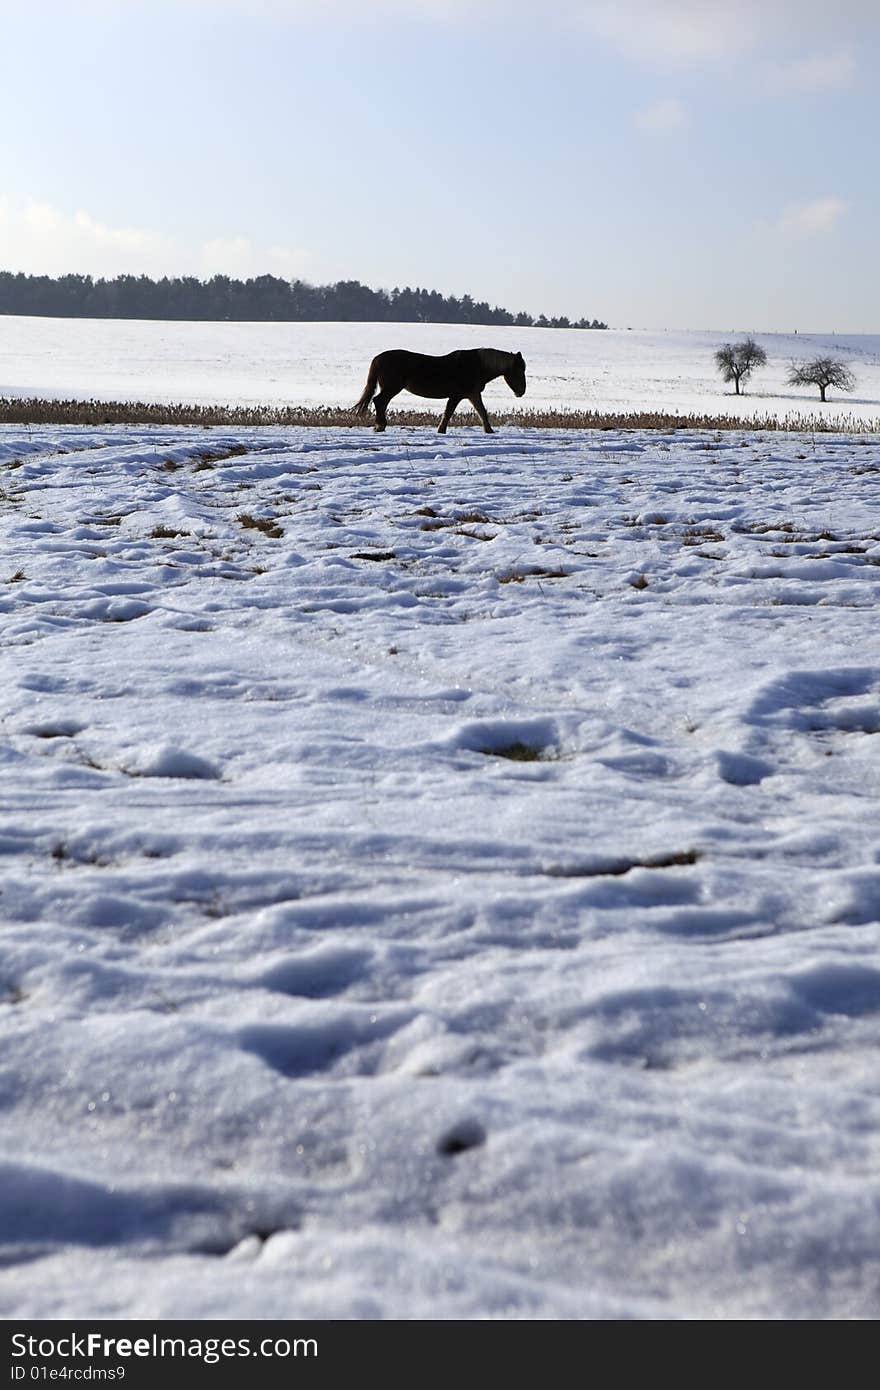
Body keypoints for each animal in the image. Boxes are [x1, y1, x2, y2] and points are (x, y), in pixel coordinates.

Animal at [353, 346, 525, 430]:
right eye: (518, 370)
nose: (521, 392)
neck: (476, 365)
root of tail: (377, 358)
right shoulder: (457, 395)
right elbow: (448, 413)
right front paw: (441, 430)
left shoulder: (472, 394)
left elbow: (482, 412)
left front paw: (489, 431)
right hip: (392, 388)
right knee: (379, 401)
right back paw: (380, 425)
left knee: (380, 402)